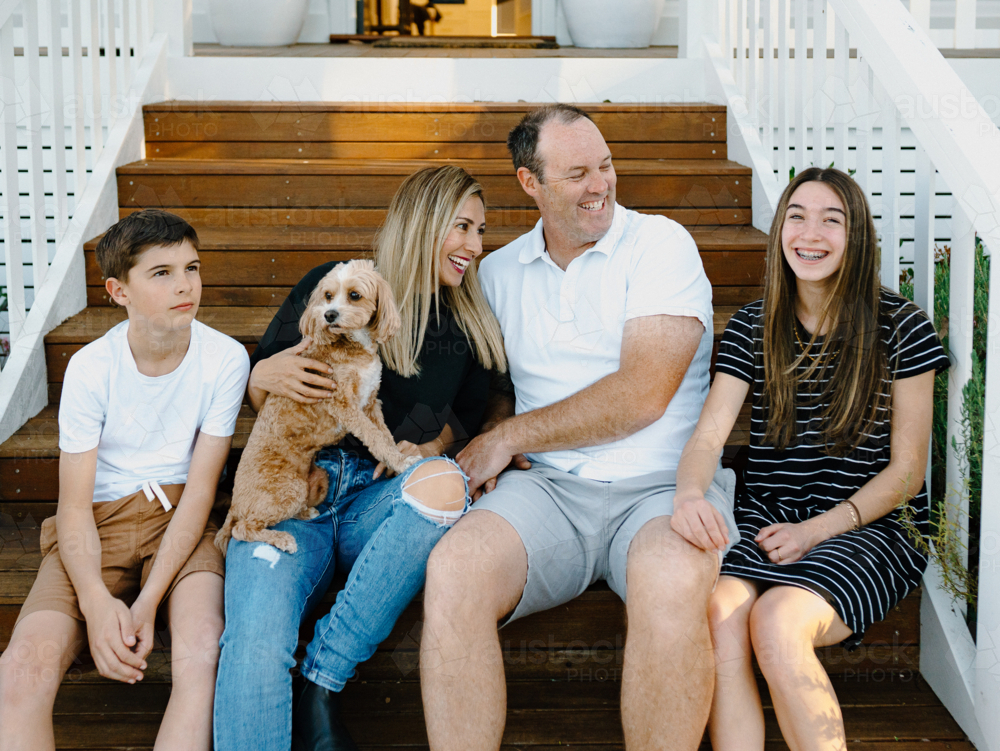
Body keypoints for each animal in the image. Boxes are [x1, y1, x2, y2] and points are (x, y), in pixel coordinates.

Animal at [217, 262, 420, 556]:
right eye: (327, 295)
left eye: (354, 295)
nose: (329, 314)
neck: (353, 345)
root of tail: (234, 504)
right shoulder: (344, 404)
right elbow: (375, 437)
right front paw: (403, 462)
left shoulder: (371, 403)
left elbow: (383, 436)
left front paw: (396, 457)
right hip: (286, 488)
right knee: (242, 529)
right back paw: (282, 539)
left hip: (315, 481)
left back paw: (306, 513)